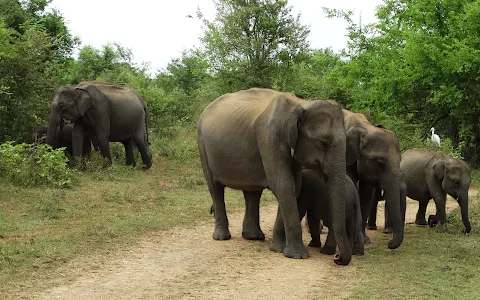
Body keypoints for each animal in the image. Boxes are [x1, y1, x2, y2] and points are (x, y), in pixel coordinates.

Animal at [197, 87, 350, 264]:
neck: (300, 104)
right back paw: (222, 237)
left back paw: (253, 237)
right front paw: (297, 256)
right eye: (323, 143)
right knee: (215, 187)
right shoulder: (269, 138)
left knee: (252, 192)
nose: (336, 257)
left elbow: (294, 186)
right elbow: (284, 184)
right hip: (202, 145)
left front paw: (277, 249)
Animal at [344, 111, 406, 250]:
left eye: (400, 160)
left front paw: (365, 240)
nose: (389, 244)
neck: (365, 128)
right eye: (380, 163)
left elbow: (367, 196)